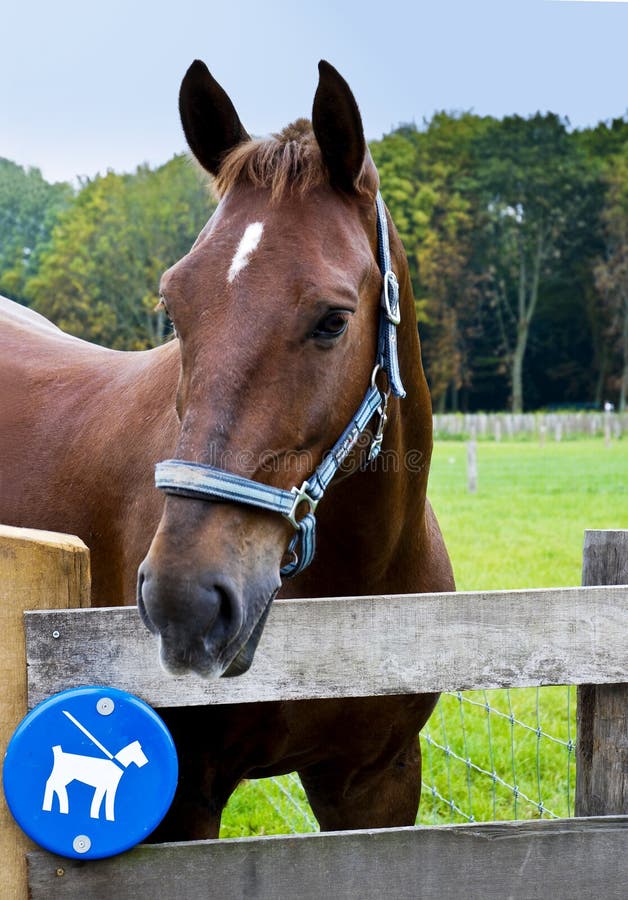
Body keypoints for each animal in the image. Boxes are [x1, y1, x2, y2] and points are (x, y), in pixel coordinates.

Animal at [0, 61, 454, 836]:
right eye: (173, 306)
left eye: (333, 320)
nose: (185, 600)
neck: (355, 597)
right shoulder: (185, 801)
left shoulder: (376, 780)